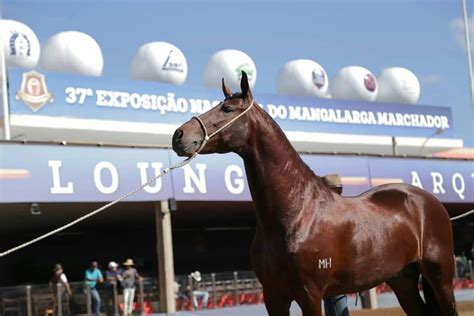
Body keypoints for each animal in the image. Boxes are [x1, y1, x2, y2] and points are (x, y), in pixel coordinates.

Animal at [172, 72, 458, 316]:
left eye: (228, 109)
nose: (179, 135)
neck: (296, 211)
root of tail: (429, 201)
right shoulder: (273, 296)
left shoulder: (309, 295)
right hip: (402, 280)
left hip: (441, 276)